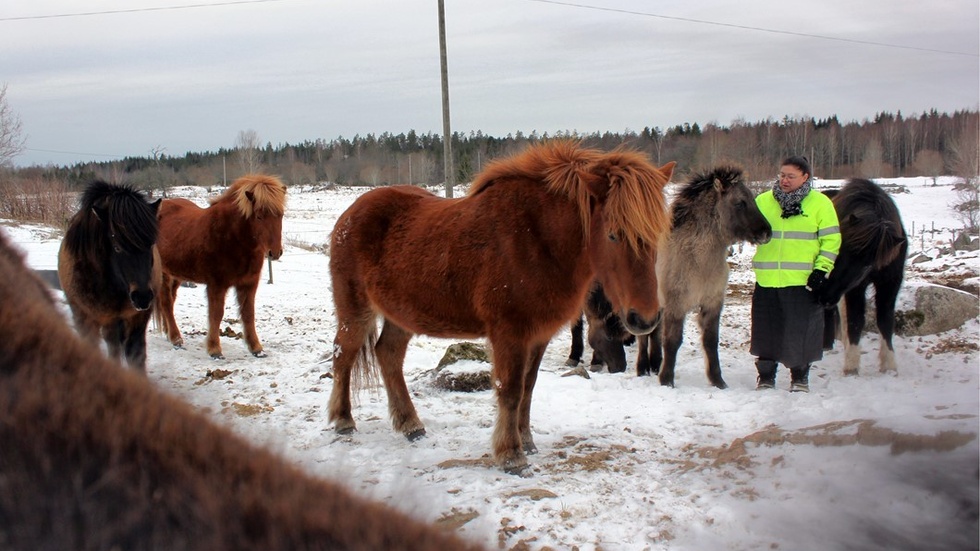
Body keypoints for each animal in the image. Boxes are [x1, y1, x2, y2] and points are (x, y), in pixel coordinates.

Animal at [57, 183, 161, 374]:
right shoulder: (99, 319)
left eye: (151, 244)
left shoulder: (137, 319)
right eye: (117, 247)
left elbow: (136, 356)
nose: (142, 297)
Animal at [153, 175, 284, 360]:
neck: (232, 237)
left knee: (170, 302)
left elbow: (248, 314)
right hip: (164, 274)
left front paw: (256, 349)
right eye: (259, 217)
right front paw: (214, 349)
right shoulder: (217, 285)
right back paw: (176, 339)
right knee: (166, 303)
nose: (275, 253)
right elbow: (216, 314)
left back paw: (168, 333)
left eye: (281, 215)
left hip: (176, 275)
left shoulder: (249, 283)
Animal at [330, 142, 672, 474]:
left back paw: (410, 425)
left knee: (388, 354)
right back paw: (343, 420)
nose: (645, 319)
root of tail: (350, 213)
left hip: (401, 315)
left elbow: (528, 388)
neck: (536, 239)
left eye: (657, 235)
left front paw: (527, 441)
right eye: (614, 234)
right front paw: (511, 455)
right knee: (343, 356)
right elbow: (510, 390)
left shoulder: (538, 335)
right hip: (355, 310)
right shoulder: (509, 334)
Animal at [816, 179, 908, 378]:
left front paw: (889, 365)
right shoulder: (854, 288)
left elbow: (885, 319)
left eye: (867, 264)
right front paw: (851, 366)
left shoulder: (890, 283)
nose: (825, 296)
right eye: (839, 250)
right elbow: (855, 320)